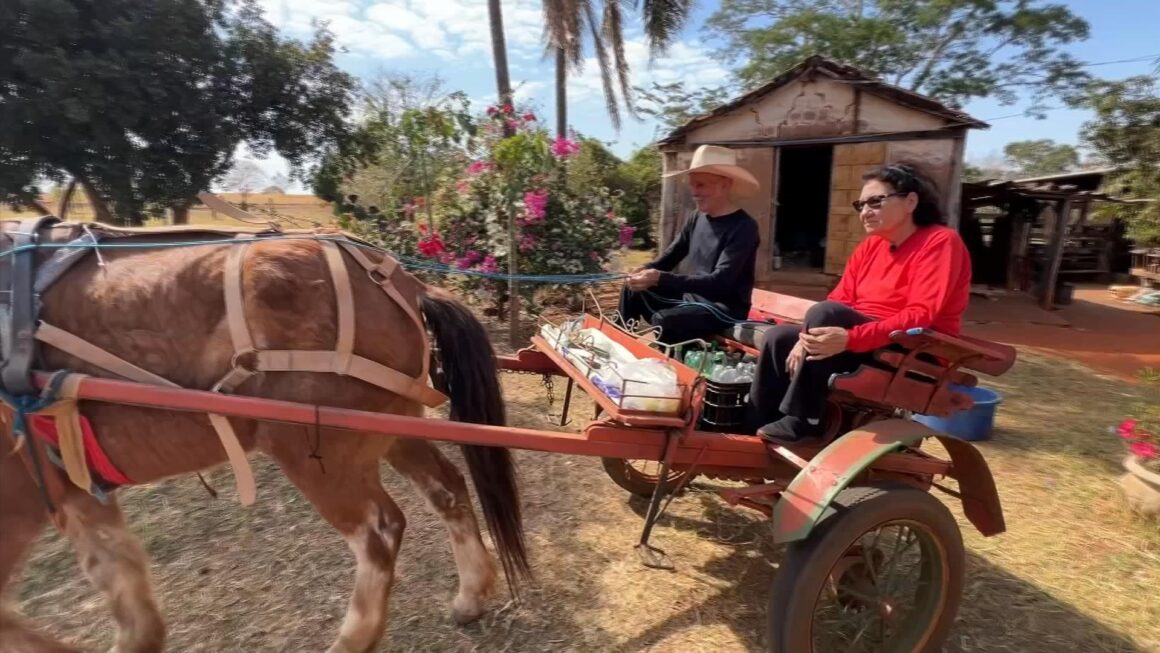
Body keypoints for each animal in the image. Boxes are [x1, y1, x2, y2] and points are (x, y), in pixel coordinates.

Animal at [1, 235, 531, 653]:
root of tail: (403, 285)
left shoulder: (22, 500)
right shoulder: (74, 491)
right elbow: (132, 608)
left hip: (315, 450)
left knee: (378, 532)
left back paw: (354, 638)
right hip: (390, 428)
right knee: (445, 488)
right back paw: (470, 592)